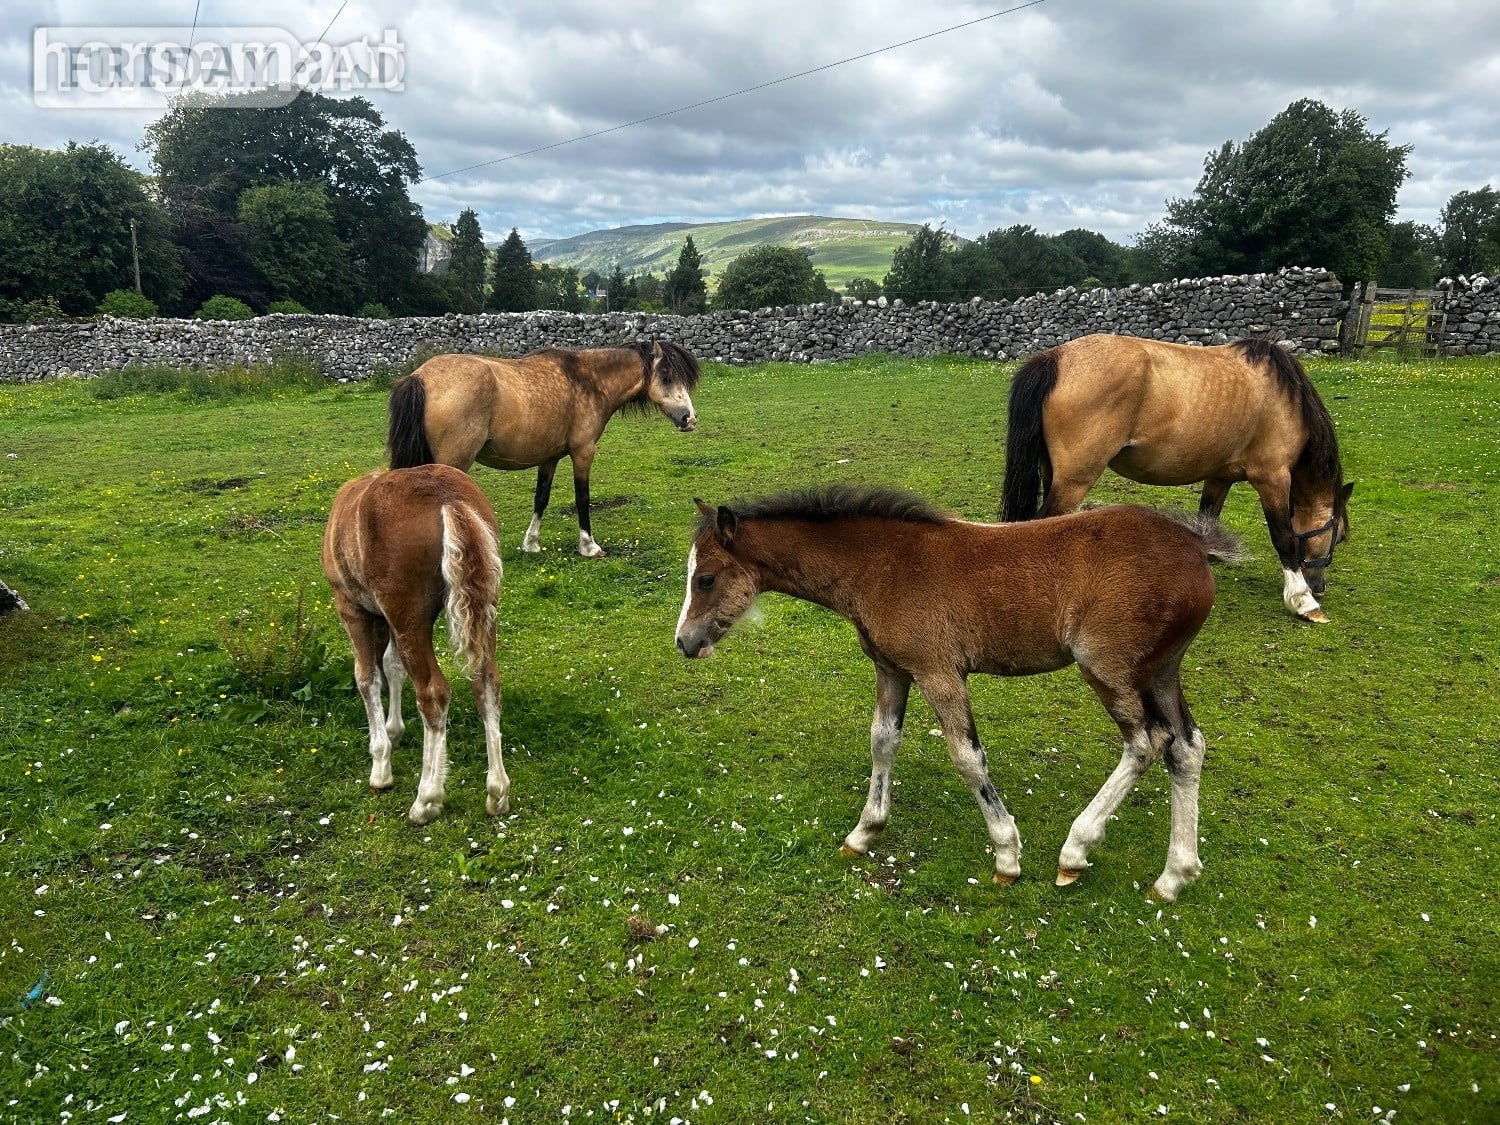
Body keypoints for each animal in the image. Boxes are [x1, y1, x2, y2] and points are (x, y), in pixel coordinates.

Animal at [322, 464, 507, 825]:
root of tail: (449, 498)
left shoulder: (352, 608)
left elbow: (367, 677)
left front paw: (381, 766)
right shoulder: (388, 619)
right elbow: (393, 666)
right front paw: (394, 729)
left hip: (408, 616)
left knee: (433, 693)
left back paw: (426, 800)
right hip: (482, 612)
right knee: (486, 683)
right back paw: (497, 793)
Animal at [388, 341, 701, 558]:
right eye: (667, 377)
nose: (690, 419)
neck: (588, 381)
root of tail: (420, 377)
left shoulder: (549, 458)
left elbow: (541, 498)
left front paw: (531, 544)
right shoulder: (583, 452)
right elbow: (582, 499)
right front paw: (589, 546)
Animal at [675, 485, 1241, 902]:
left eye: (705, 579)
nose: (684, 642)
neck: (879, 564)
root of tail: (1194, 547)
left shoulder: (939, 672)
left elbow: (967, 757)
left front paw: (1007, 857)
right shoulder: (893, 670)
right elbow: (882, 741)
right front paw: (863, 834)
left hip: (1109, 669)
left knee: (1146, 743)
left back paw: (1075, 851)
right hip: (1162, 670)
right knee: (1186, 746)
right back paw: (1174, 876)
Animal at [1000, 334, 1353, 622]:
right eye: (1339, 536)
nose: (1319, 587)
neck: (1284, 398)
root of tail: (1054, 357)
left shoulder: (1219, 478)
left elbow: (1207, 519)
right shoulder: (1273, 478)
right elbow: (1283, 537)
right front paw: (1303, 601)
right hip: (1074, 481)